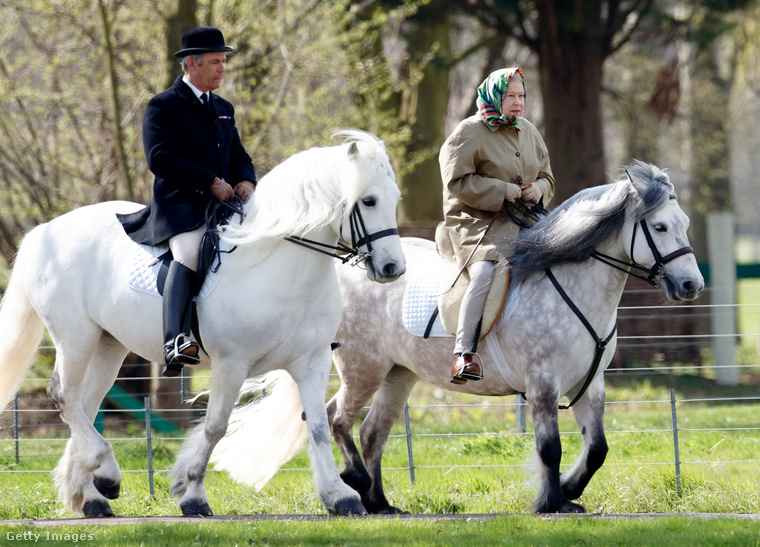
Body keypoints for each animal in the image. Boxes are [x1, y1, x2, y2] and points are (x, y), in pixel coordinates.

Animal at [0, 131, 404, 516]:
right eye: (368, 201)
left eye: (395, 199)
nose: (392, 268)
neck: (279, 265)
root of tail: (43, 232)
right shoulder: (231, 363)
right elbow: (215, 427)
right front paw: (191, 493)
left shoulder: (312, 361)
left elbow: (317, 426)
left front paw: (340, 496)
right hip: (76, 337)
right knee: (65, 396)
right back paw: (106, 472)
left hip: (107, 344)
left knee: (85, 403)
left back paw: (90, 495)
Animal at [209, 161, 708, 516]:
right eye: (659, 227)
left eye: (684, 221)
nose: (691, 286)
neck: (571, 285)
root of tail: (351, 268)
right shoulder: (543, 384)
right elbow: (549, 447)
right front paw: (552, 502)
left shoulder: (590, 385)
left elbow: (598, 449)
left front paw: (568, 489)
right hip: (363, 369)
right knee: (336, 419)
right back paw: (358, 485)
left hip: (399, 375)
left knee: (372, 433)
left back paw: (381, 503)